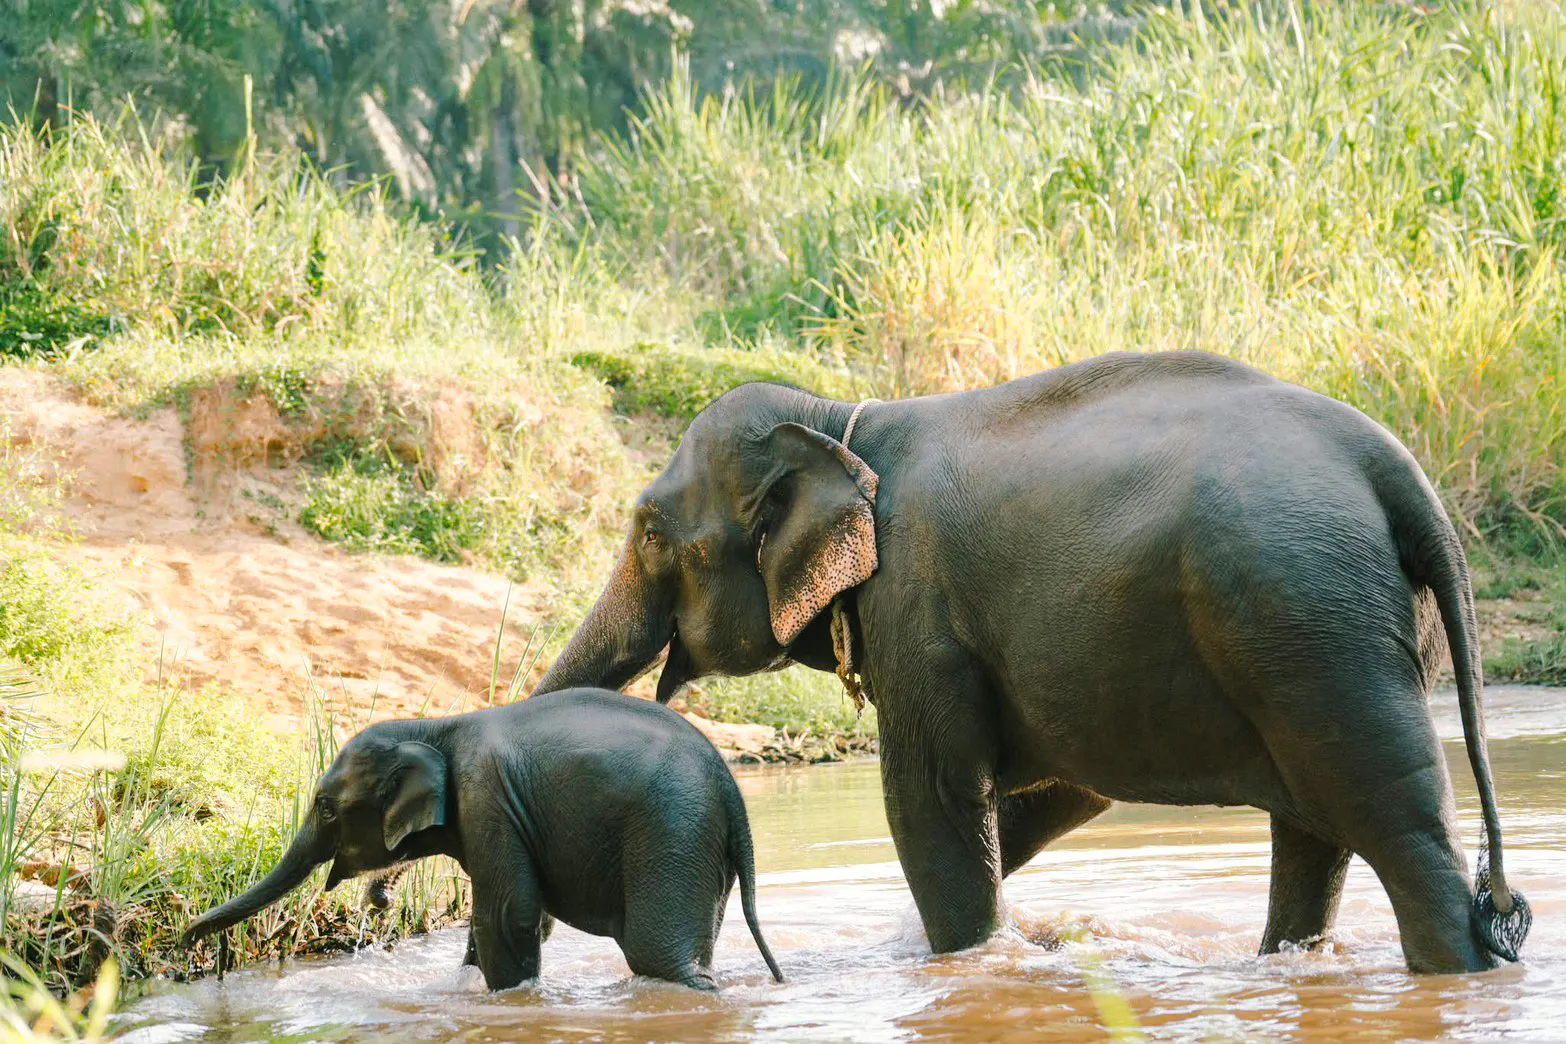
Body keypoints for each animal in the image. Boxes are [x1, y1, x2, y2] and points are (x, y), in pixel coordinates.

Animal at [182, 689, 786, 991]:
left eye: (326, 807)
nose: (194, 945)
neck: (434, 726)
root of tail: (732, 790)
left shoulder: (486, 797)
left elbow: (508, 912)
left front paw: (508, 1002)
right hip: (698, 845)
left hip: (672, 831)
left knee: (655, 952)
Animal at [535, 349, 1532, 975]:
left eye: (651, 533)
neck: (841, 421)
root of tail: (1399, 471)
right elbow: (1051, 792)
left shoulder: (919, 610)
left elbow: (933, 802)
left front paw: (967, 960)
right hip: (1330, 628)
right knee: (1317, 834)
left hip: (1313, 624)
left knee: (1391, 822)